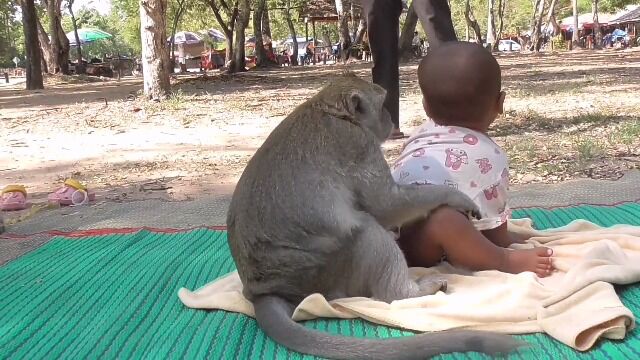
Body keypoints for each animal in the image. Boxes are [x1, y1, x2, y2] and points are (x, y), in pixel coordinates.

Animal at [226, 74, 524, 360]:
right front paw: (457, 197)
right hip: (325, 273)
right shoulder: (359, 145)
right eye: (381, 104)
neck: (333, 112)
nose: (390, 116)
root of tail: (264, 290)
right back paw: (406, 293)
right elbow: (386, 206)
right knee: (368, 230)